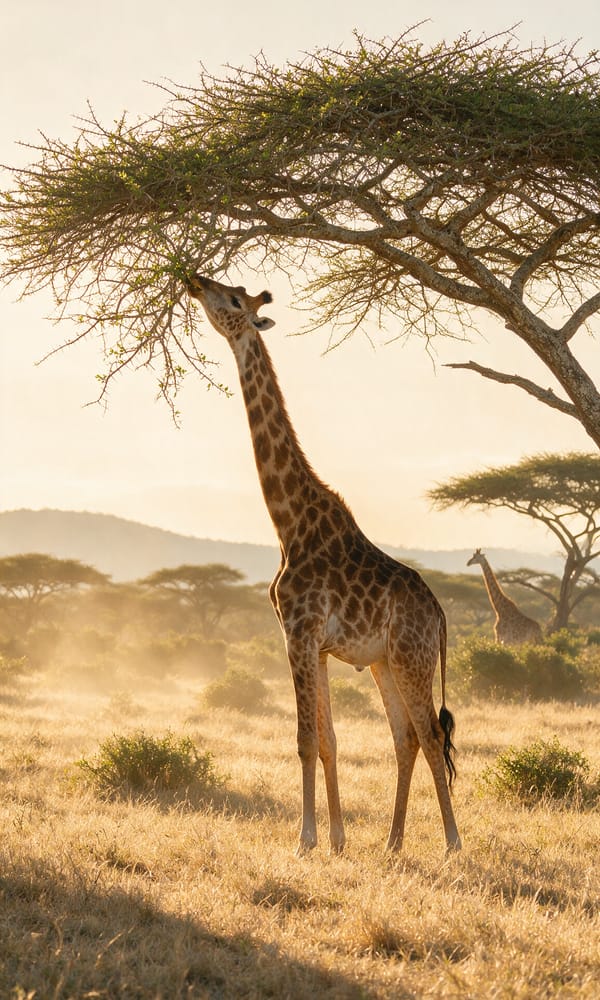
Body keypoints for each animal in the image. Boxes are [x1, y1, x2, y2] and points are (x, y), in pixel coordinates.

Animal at [186, 274, 461, 855]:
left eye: (233, 299)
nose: (194, 280)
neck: (288, 522)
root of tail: (441, 615)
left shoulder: (299, 631)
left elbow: (305, 737)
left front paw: (306, 839)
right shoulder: (317, 644)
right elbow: (330, 738)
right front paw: (337, 839)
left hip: (411, 657)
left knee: (430, 735)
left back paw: (451, 842)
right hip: (383, 662)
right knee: (405, 737)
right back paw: (392, 843)